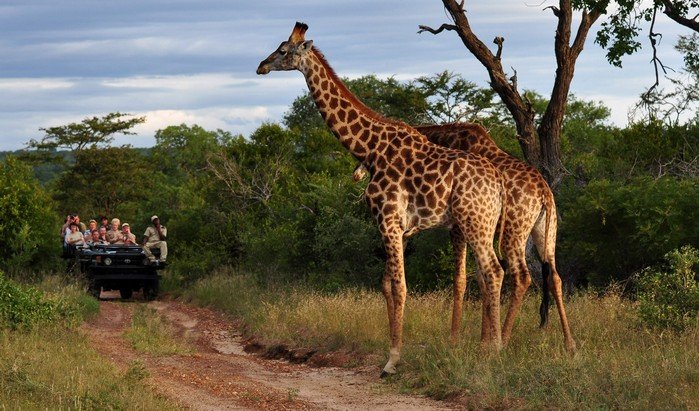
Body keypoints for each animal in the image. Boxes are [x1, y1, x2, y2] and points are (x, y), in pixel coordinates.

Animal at [258, 22, 508, 376]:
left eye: (282, 51)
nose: (261, 66)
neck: (369, 147)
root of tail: (498, 184)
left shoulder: (388, 219)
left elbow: (400, 286)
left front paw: (392, 360)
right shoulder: (398, 227)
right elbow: (388, 284)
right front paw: (392, 352)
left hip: (475, 222)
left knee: (493, 271)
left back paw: (494, 351)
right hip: (479, 225)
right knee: (488, 274)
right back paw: (489, 346)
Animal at [352, 122, 576, 350]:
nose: (357, 175)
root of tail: (544, 193)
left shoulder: (459, 227)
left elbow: (465, 278)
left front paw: (460, 339)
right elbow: (482, 278)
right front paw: (484, 339)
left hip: (514, 231)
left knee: (522, 276)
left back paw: (504, 338)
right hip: (545, 231)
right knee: (555, 277)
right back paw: (569, 343)